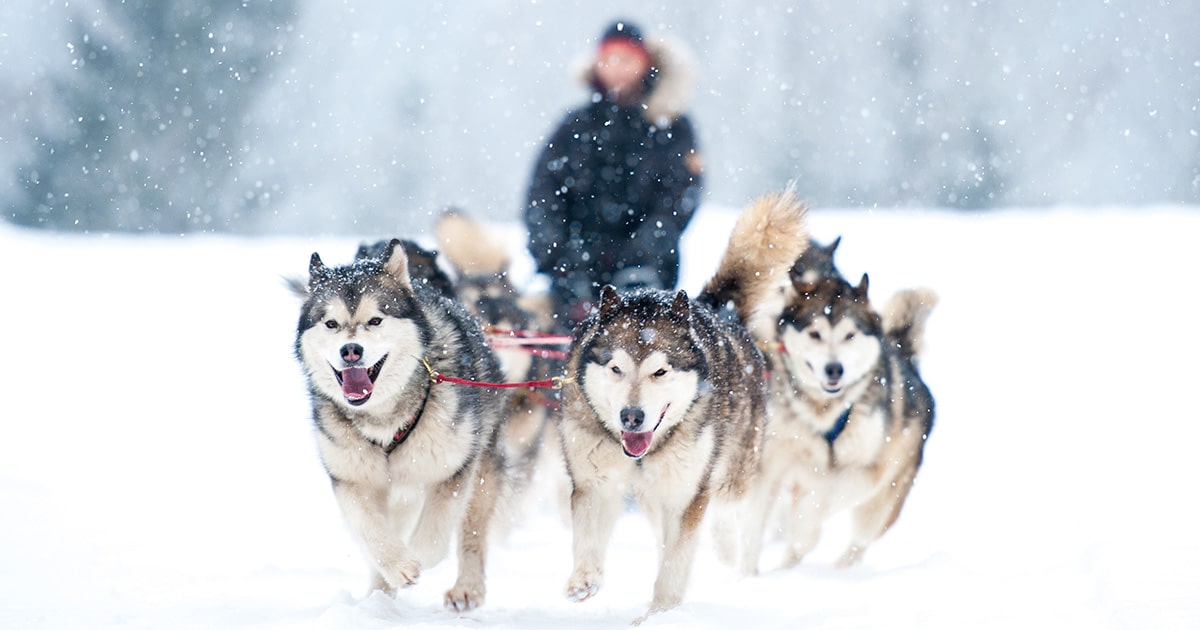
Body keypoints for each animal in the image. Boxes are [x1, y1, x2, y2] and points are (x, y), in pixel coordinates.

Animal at [298, 240, 511, 609]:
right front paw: (397, 565)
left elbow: (435, 536)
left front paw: (417, 558)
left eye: (375, 320)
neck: (384, 419)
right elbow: (369, 528)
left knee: (471, 532)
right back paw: (379, 597)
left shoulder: (454, 470)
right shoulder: (350, 479)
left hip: (481, 468)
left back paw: (467, 587)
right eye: (331, 324)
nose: (351, 350)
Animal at [559, 187, 806, 614]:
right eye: (616, 368)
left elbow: (677, 560)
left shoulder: (687, 493)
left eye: (660, 372)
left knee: (725, 510)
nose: (631, 417)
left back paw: (727, 548)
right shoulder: (595, 480)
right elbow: (590, 536)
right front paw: (585, 579)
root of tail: (708, 307)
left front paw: (662, 611)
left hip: (732, 468)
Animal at [739, 272, 936, 571]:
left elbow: (824, 496)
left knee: (858, 543)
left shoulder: (867, 470)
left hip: (880, 505)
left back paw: (839, 569)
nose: (834, 369)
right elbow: (753, 528)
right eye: (815, 334)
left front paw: (804, 529)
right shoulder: (770, 463)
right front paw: (745, 575)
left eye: (849, 335)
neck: (823, 411)